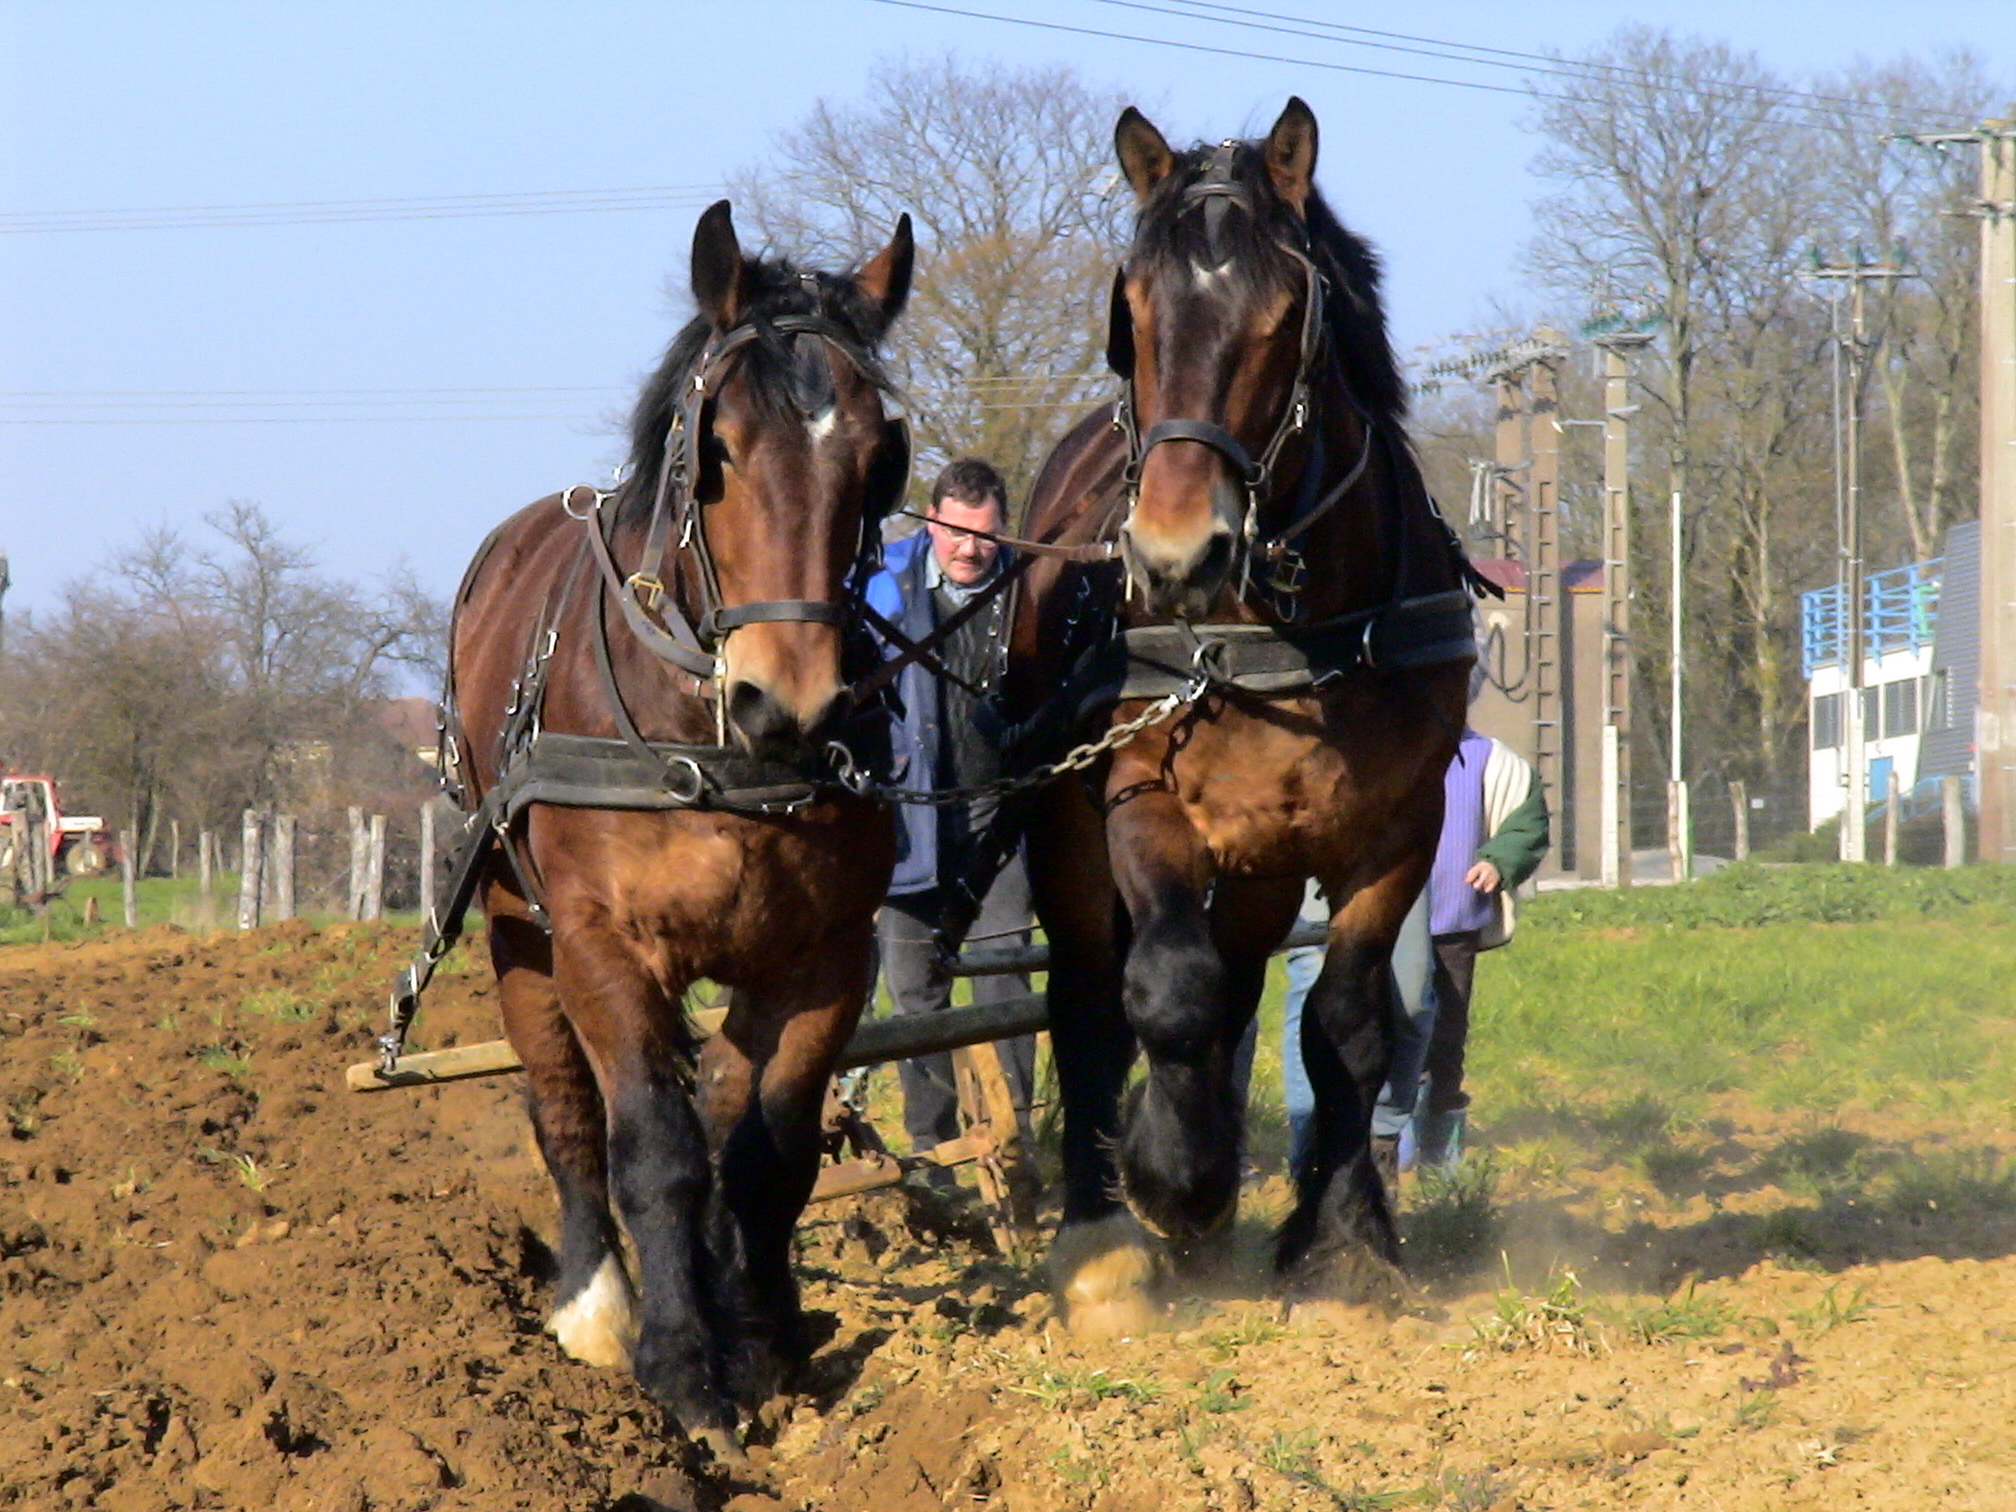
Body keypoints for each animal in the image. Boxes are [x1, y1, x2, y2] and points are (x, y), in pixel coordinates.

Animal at [447, 201, 915, 1443]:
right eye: (719, 450)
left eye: (879, 457)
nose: (791, 702)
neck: (713, 750)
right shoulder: (601, 947)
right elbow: (652, 1148)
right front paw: (682, 1369)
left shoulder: (826, 956)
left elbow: (766, 1150)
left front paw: (761, 1344)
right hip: (514, 924)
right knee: (567, 1112)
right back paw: (597, 1304)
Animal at [1008, 100, 1483, 1338]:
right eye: (1130, 312)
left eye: (1283, 317)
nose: (1176, 556)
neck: (1289, 620)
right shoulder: (1139, 796)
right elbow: (1168, 991)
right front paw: (1173, 1181)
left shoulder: (1398, 829)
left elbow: (1349, 1024)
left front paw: (1344, 1239)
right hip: (1068, 835)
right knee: (1092, 1001)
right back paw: (1106, 1236)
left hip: (1269, 859)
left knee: (1243, 984)